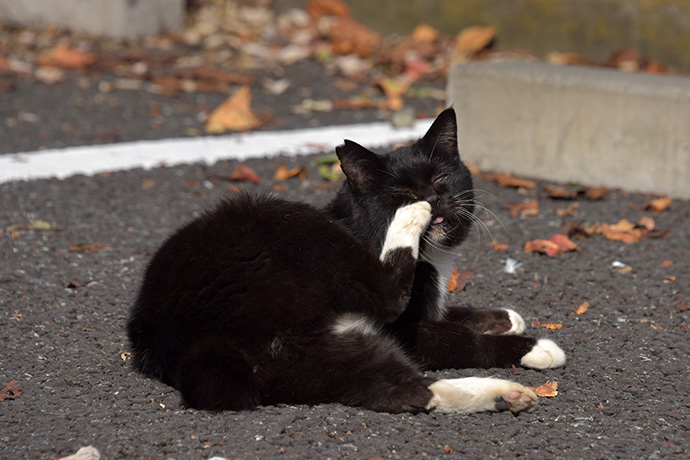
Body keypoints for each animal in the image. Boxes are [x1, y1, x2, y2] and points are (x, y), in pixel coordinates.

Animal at [127, 108, 564, 416]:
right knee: (387, 298)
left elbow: (452, 313)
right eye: (401, 192)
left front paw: (505, 317)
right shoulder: (406, 328)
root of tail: (190, 338)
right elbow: (457, 337)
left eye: (441, 179)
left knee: (400, 388)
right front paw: (532, 345)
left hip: (307, 361)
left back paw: (504, 396)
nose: (431, 199)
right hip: (288, 225)